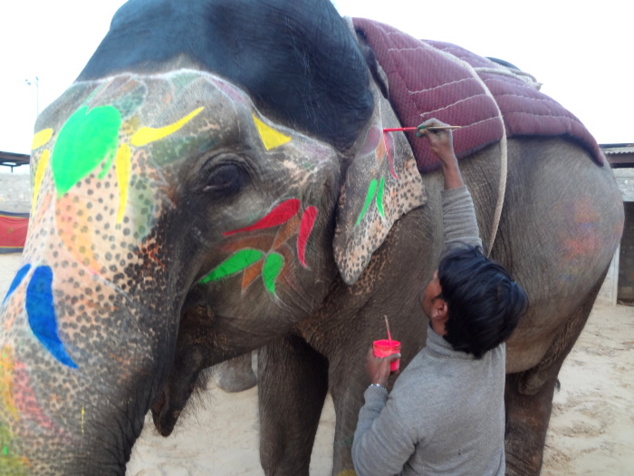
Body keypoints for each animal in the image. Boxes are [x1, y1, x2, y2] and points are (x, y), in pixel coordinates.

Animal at [0, 0, 624, 476]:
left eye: (223, 178)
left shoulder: (414, 246)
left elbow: (362, 437)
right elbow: (281, 419)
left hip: (590, 270)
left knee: (531, 390)